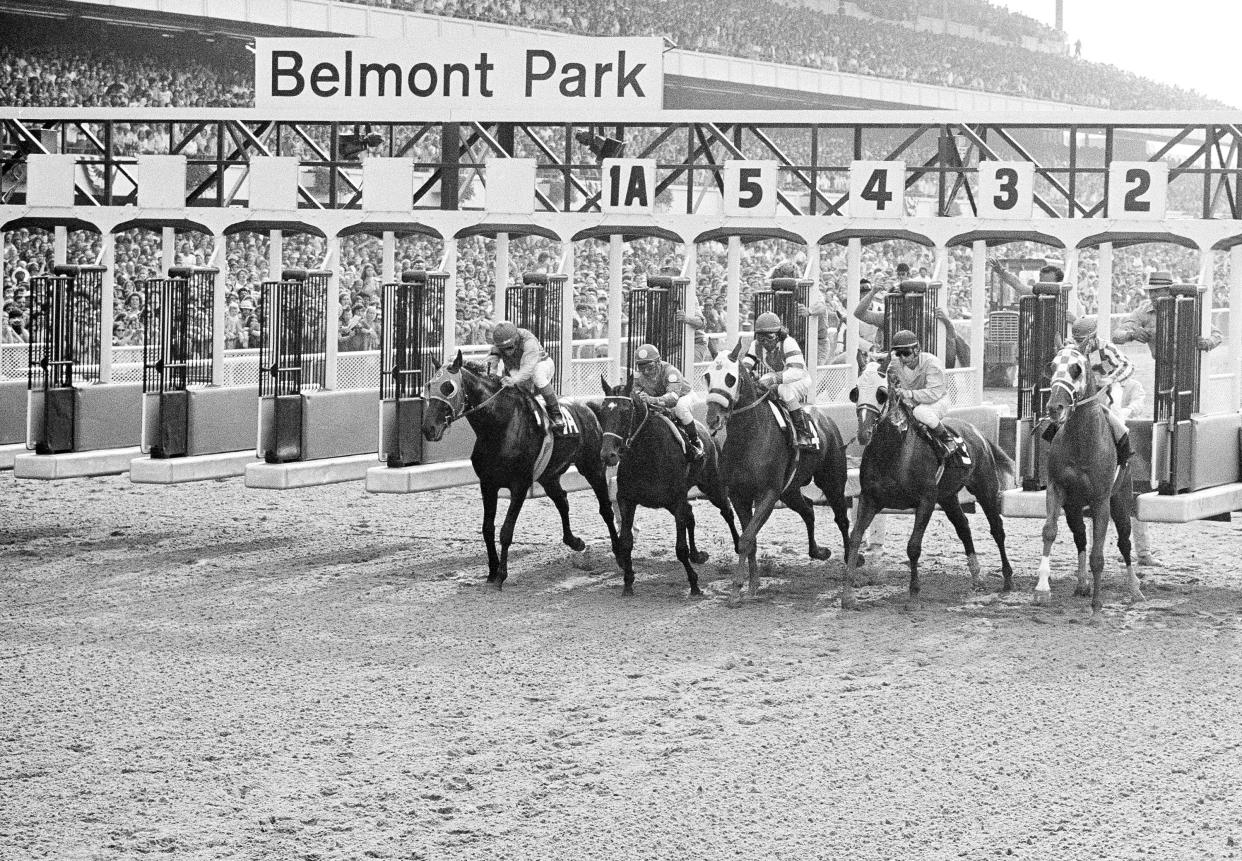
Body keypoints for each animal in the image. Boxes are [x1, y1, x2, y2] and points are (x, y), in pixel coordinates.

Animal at [422, 352, 621, 588]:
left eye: (448, 388)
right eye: (429, 385)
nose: (428, 428)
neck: (500, 426)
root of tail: (587, 407)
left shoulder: (520, 485)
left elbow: (506, 530)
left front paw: (501, 574)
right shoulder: (487, 484)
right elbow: (487, 529)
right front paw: (492, 570)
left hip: (592, 466)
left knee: (606, 509)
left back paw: (619, 553)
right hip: (549, 475)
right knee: (562, 500)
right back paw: (575, 542)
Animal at [593, 375, 735, 598]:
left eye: (625, 410)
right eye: (602, 411)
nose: (608, 455)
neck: (646, 454)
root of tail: (707, 433)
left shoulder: (676, 499)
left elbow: (680, 549)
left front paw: (694, 584)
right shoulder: (627, 500)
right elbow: (626, 542)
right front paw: (628, 581)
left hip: (712, 485)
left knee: (727, 511)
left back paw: (740, 546)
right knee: (690, 514)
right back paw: (697, 554)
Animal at [705, 340, 849, 603]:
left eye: (730, 378)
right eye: (707, 376)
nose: (713, 419)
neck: (749, 437)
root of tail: (825, 418)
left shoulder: (768, 495)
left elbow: (746, 538)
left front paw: (737, 588)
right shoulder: (739, 496)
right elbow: (749, 538)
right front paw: (751, 585)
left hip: (832, 481)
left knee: (842, 519)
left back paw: (851, 561)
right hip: (790, 491)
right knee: (808, 509)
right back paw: (818, 551)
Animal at [839, 360, 1013, 608]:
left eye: (881, 394)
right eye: (855, 392)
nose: (864, 433)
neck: (893, 451)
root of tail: (977, 433)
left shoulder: (926, 500)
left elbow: (913, 546)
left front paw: (913, 593)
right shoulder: (869, 499)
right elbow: (854, 538)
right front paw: (847, 595)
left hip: (985, 487)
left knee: (997, 529)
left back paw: (1007, 578)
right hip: (948, 497)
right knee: (963, 527)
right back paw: (977, 577)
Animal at [1028, 342, 1142, 611]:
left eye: (1076, 368)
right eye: (1052, 366)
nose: (1054, 407)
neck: (1082, 442)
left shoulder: (1101, 501)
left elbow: (1098, 555)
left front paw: (1097, 604)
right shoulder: (1057, 488)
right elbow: (1050, 531)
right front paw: (1042, 589)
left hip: (1121, 501)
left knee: (1124, 542)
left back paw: (1134, 588)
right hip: (1073, 506)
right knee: (1080, 536)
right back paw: (1082, 583)